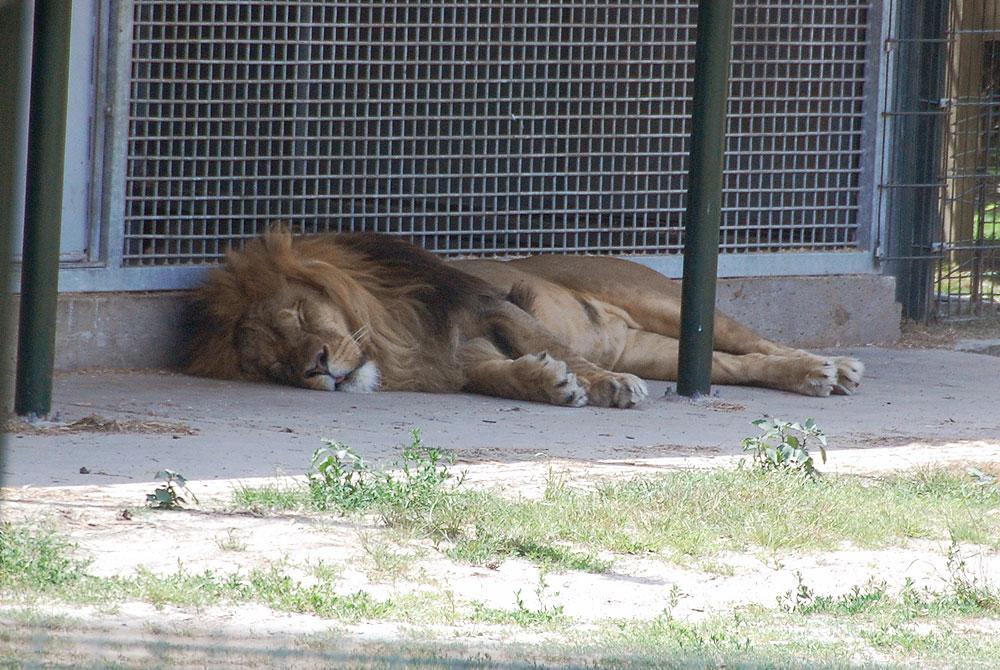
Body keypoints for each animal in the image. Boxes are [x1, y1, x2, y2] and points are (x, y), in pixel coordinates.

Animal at [184, 231, 864, 410]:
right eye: (275, 362)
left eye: (300, 312)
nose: (318, 368)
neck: (392, 338)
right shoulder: (460, 356)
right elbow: (495, 375)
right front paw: (550, 383)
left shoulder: (493, 303)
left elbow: (549, 341)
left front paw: (604, 386)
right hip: (653, 346)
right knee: (731, 366)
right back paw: (808, 376)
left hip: (666, 303)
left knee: (756, 341)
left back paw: (828, 367)